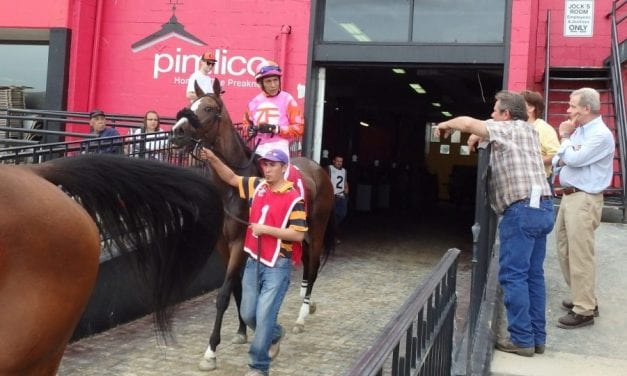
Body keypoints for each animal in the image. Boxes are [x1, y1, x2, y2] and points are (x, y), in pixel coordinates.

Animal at [169, 78, 336, 370]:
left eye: (209, 108)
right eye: (191, 104)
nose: (177, 132)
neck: (231, 189)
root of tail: (318, 169)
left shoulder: (239, 243)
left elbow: (224, 294)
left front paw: (211, 351)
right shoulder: (224, 246)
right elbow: (238, 289)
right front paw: (241, 331)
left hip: (316, 231)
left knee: (312, 268)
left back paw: (302, 315)